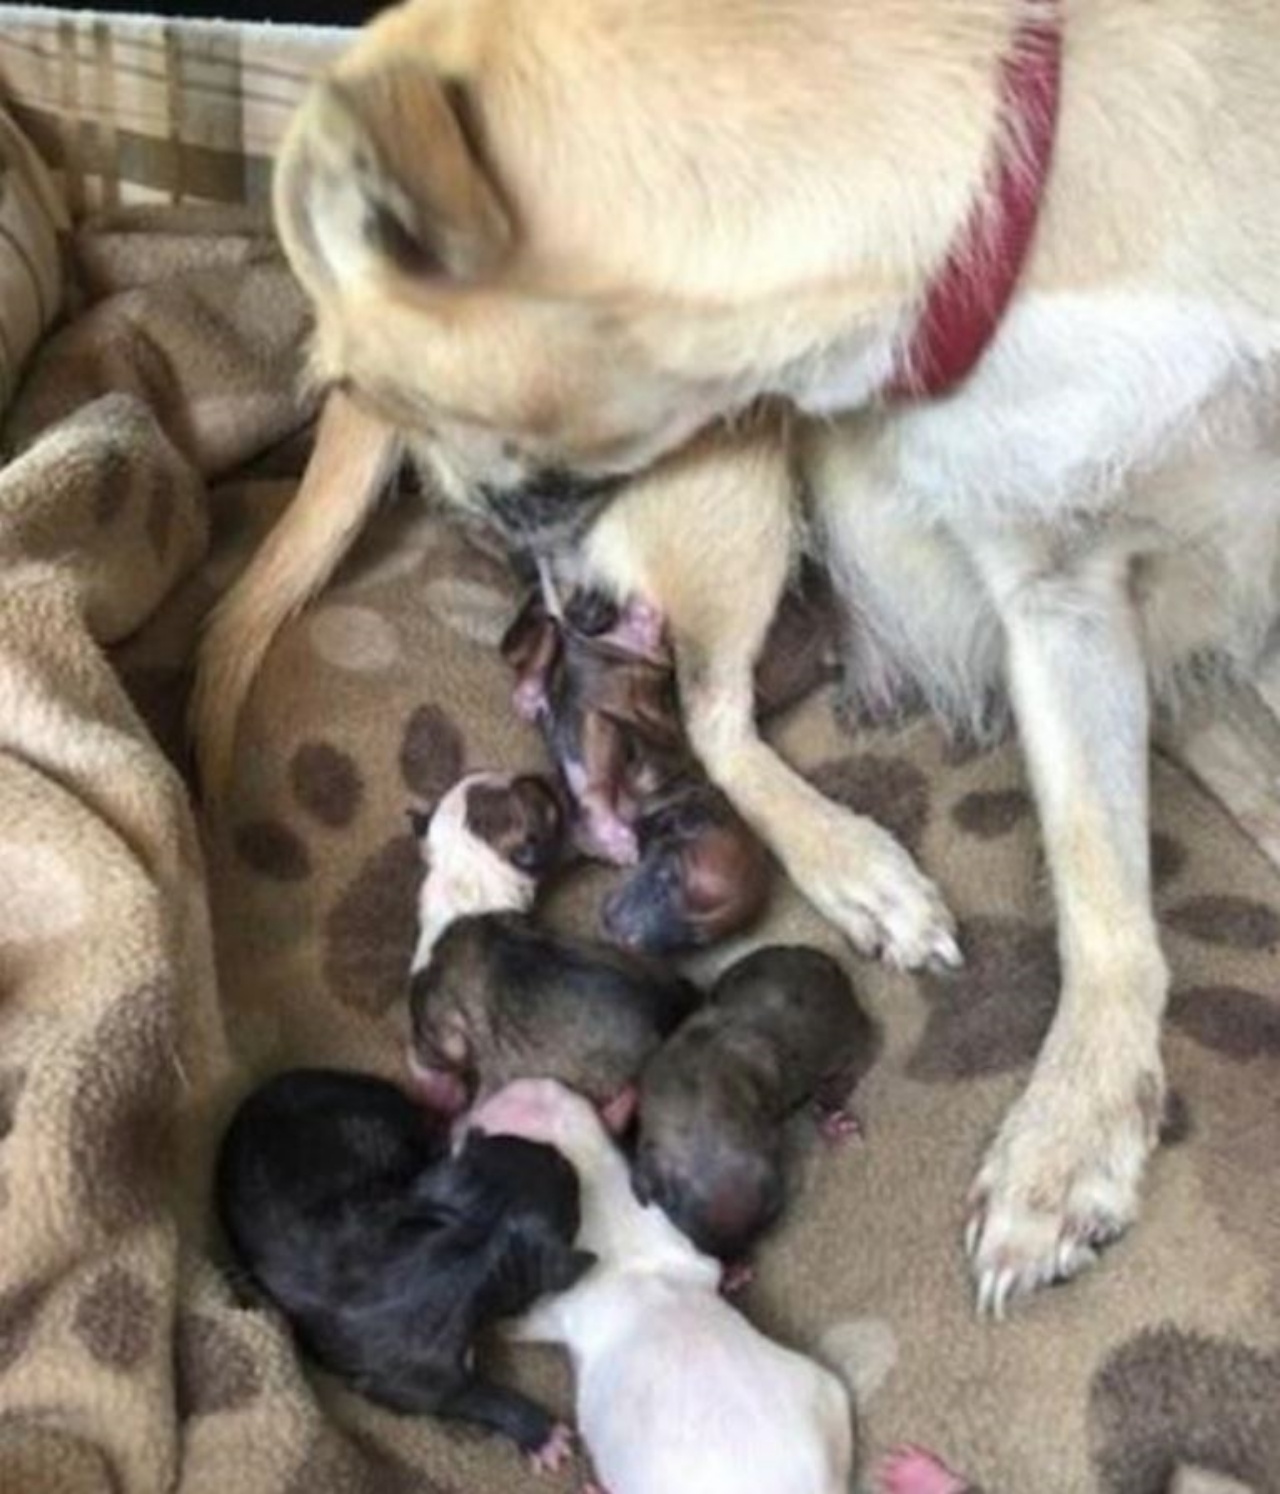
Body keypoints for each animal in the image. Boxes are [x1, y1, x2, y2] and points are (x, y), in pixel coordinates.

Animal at [216, 1069, 591, 1464]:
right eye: (563, 1172)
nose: (560, 1154)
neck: (465, 1236)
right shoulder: (414, 1370)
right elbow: (457, 1395)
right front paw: (540, 1431)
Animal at [463, 1081, 854, 1494]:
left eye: (481, 1132)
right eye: (554, 1087)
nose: (496, 1087)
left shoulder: (556, 1295)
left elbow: (520, 1323)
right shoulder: (678, 1242)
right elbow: (710, 1264)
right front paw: (732, 1272)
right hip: (826, 1396)